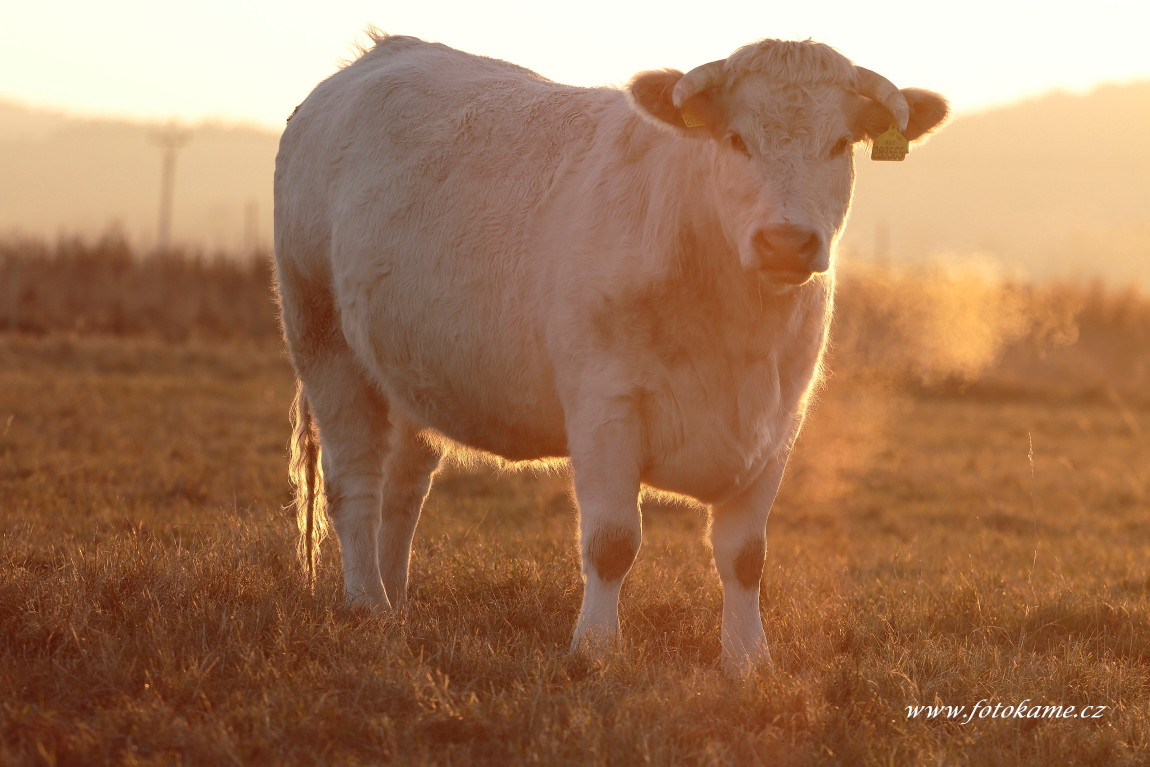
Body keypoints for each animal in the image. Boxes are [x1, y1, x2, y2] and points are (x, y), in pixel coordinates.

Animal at [273, 33, 947, 676]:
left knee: (403, 489)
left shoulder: (779, 421)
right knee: (353, 482)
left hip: (413, 370)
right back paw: (367, 606)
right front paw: (596, 649)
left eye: (840, 144)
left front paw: (747, 660)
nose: (786, 241)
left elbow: (745, 555)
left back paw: (398, 602)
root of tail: (378, 52)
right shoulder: (605, 406)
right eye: (735, 138)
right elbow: (613, 540)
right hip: (323, 339)